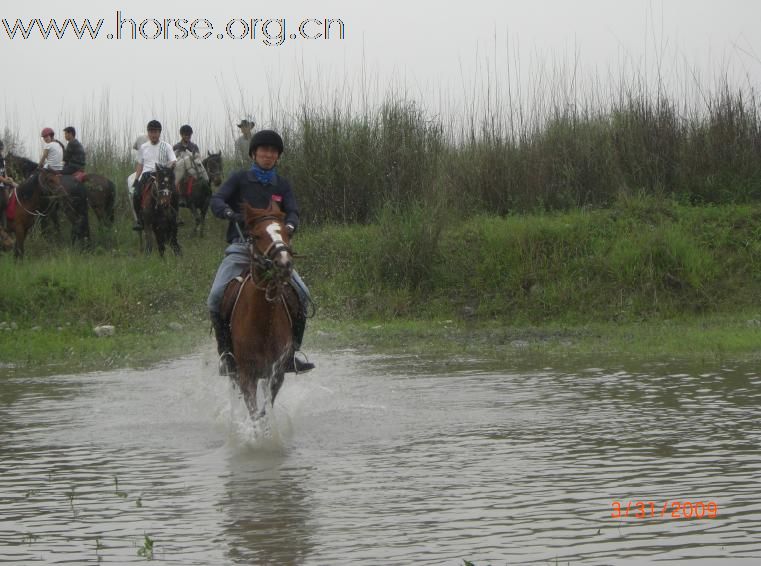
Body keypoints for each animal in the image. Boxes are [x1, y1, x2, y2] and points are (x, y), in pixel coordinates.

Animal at [220, 202, 296, 420]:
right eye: (257, 236)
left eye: (287, 232)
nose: (284, 264)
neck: (263, 322)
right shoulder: (247, 375)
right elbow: (254, 412)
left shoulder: (276, 373)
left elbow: (266, 408)